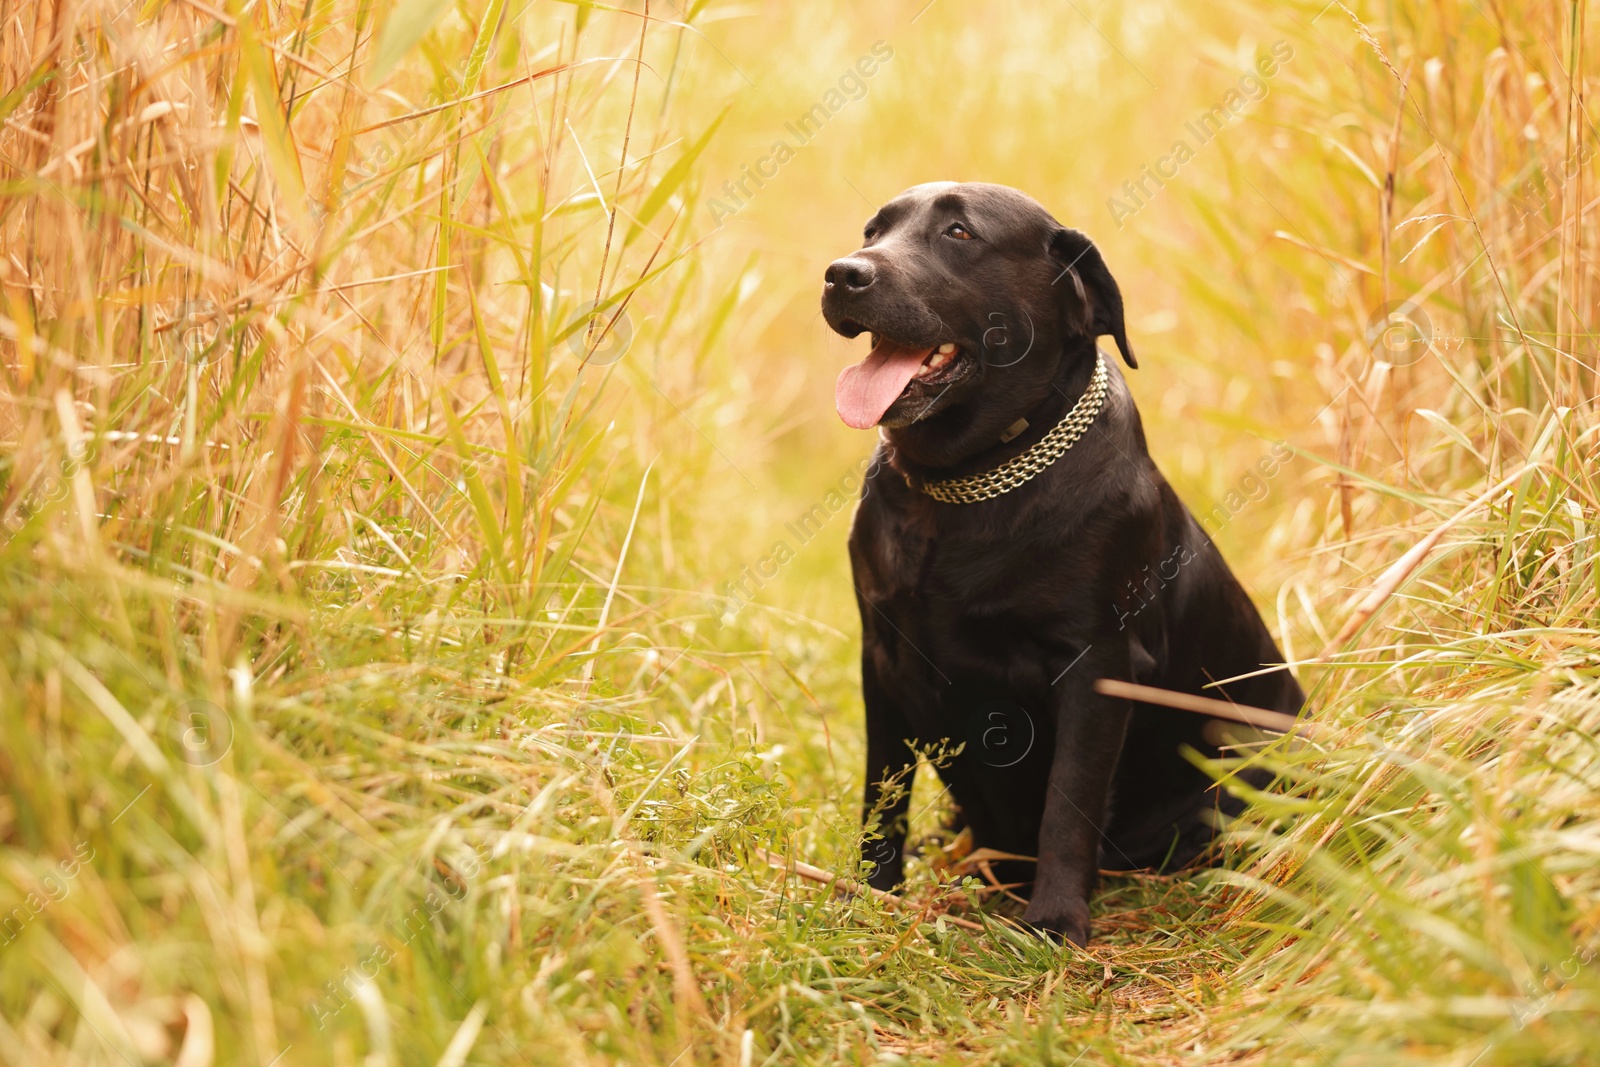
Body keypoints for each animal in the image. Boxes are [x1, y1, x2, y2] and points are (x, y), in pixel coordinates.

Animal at [825, 181, 1299, 940]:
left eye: (959, 232)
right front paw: (871, 894)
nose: (843, 274)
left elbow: (1069, 799)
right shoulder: (882, 654)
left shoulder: (1095, 665)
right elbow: (882, 792)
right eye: (873, 230)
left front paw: (1054, 920)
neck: (961, 488)